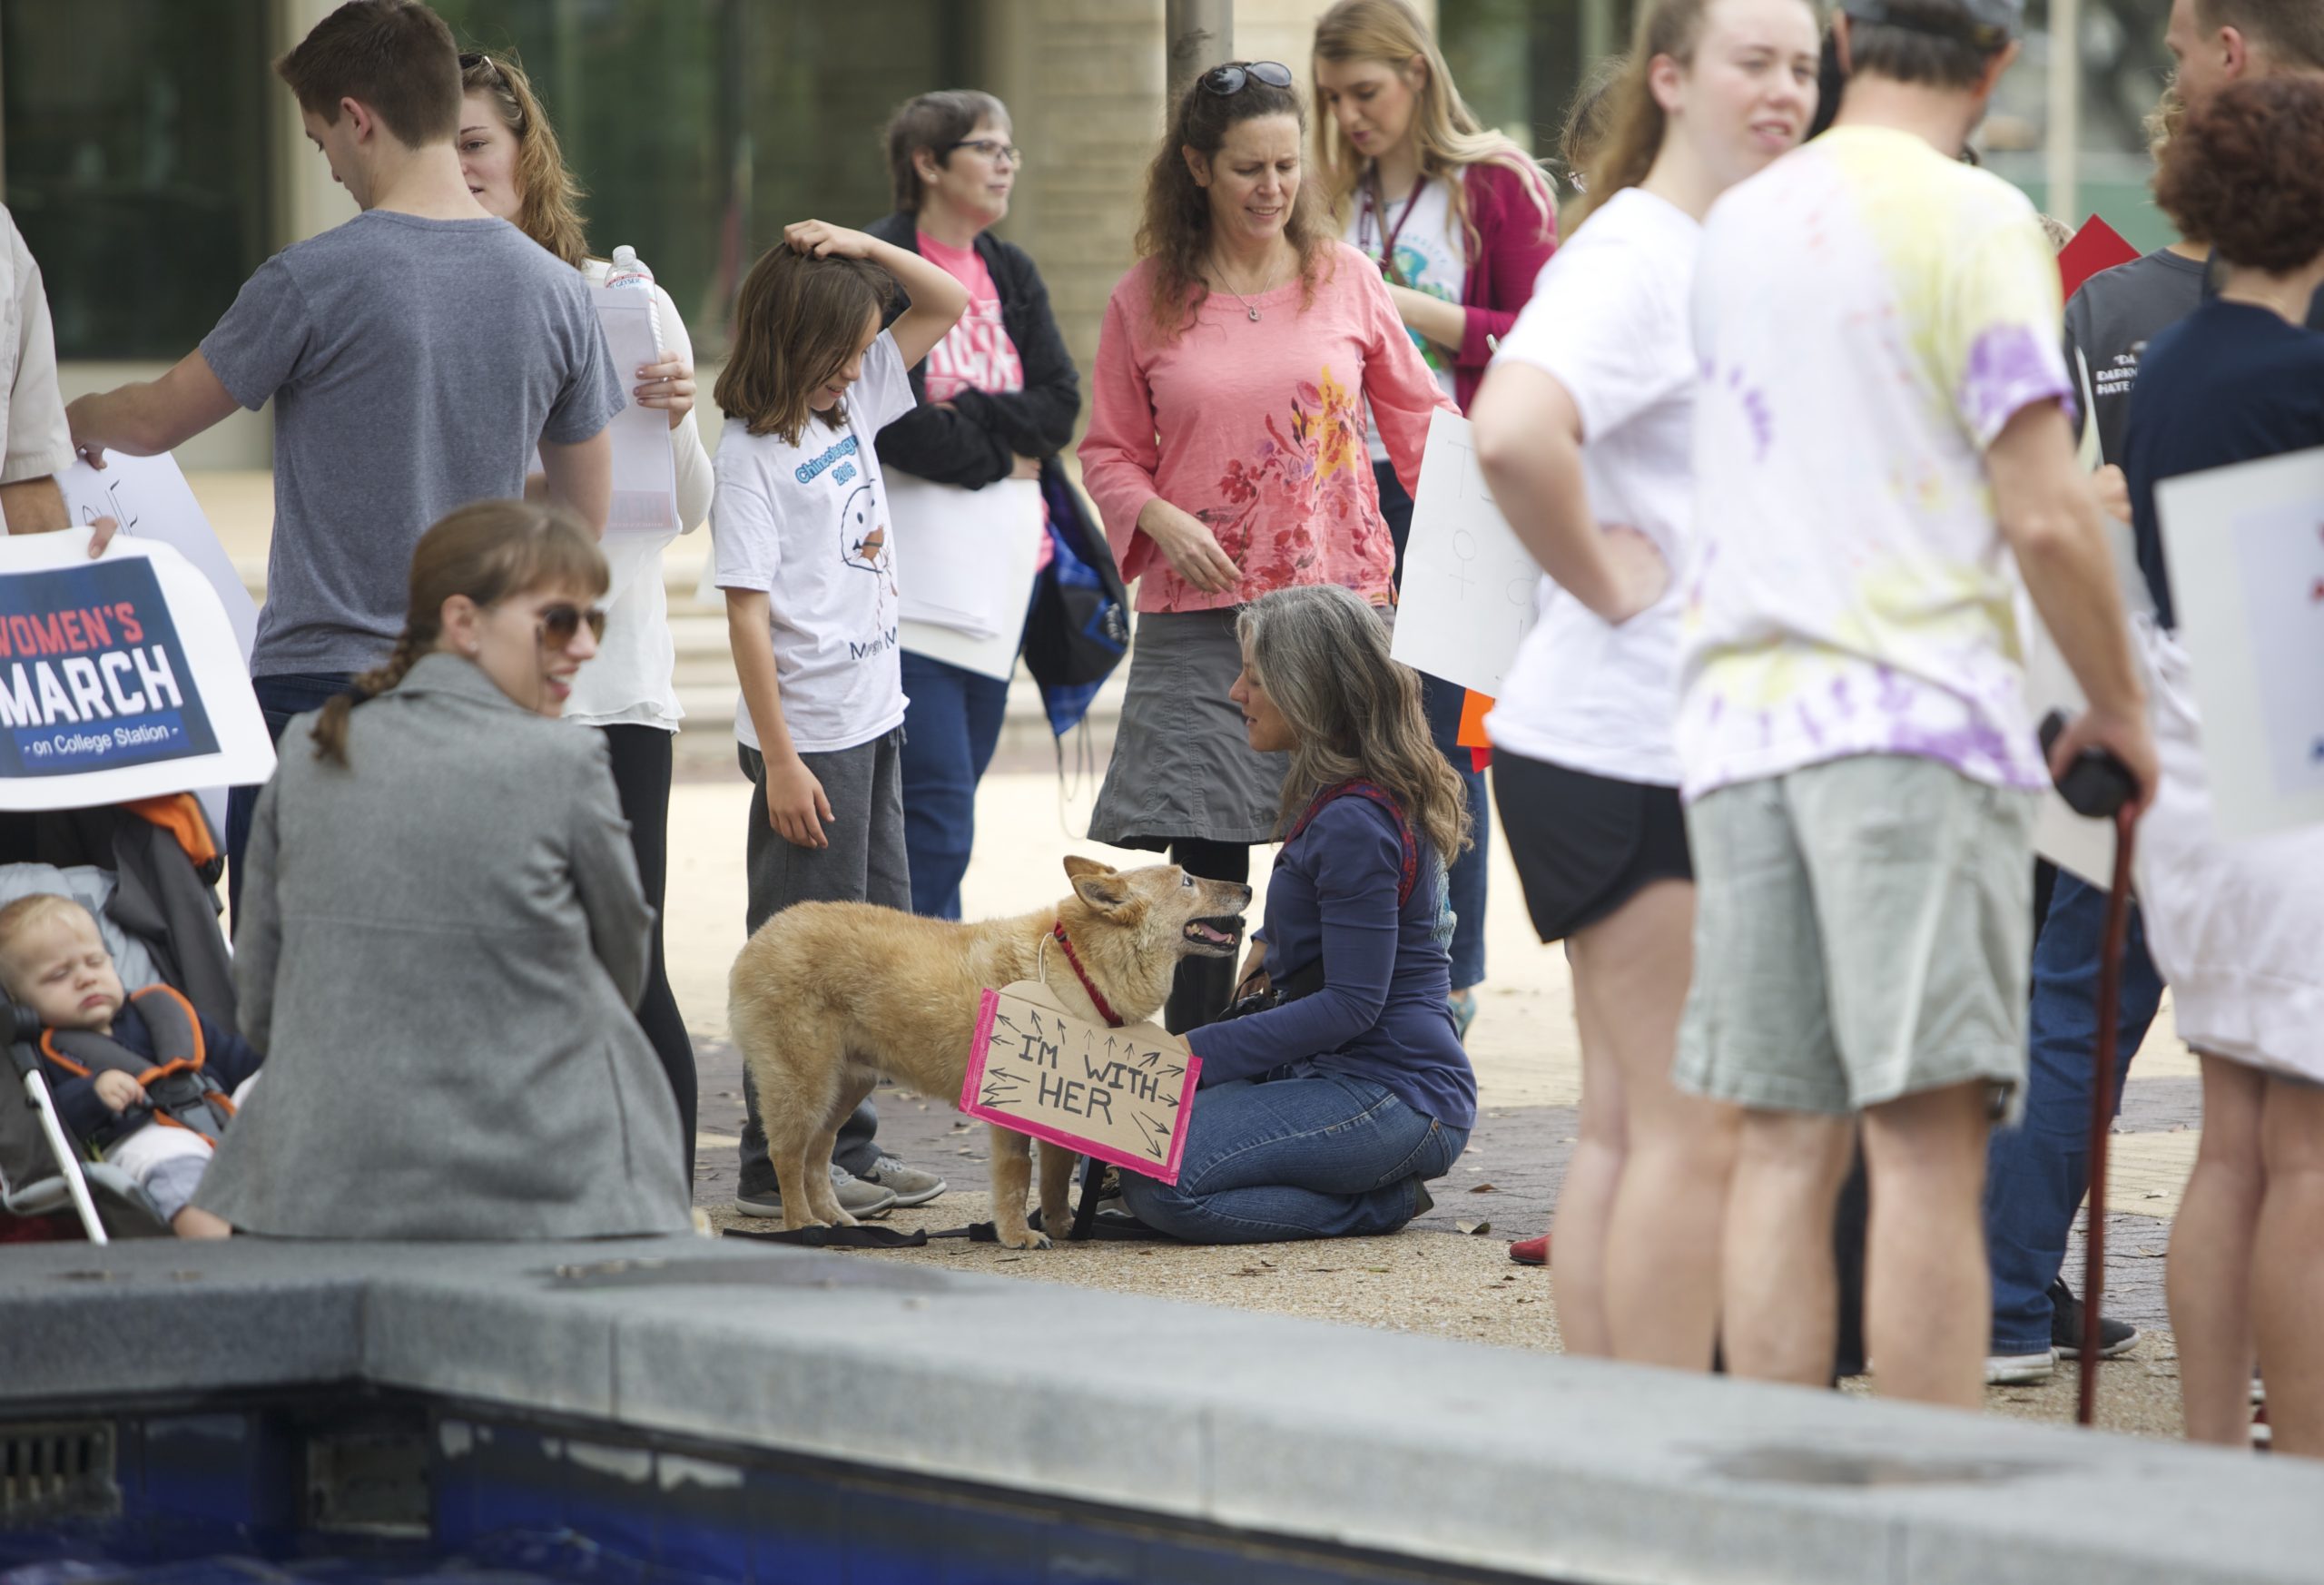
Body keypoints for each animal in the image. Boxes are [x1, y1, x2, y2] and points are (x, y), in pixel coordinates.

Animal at [739, 851, 1255, 1245]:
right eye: (1188, 880)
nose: (1249, 889)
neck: (1081, 968)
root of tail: (765, 933)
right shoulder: (1010, 1112)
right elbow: (1017, 1176)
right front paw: (1016, 1235)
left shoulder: (1057, 1117)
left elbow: (1054, 1177)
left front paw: (1063, 1225)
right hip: (804, 1085)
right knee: (787, 1155)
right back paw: (802, 1225)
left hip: (846, 1087)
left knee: (818, 1155)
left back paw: (835, 1220)